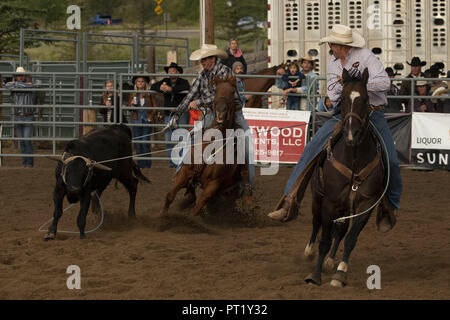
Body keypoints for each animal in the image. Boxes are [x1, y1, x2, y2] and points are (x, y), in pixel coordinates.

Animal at [160, 75, 250, 215]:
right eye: (216, 90)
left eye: (232, 92)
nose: (220, 111)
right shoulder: (186, 170)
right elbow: (170, 195)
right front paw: (162, 217)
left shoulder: (213, 185)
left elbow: (195, 210)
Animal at [304, 68, 392, 288]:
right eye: (342, 98)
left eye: (366, 98)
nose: (351, 134)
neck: (353, 161)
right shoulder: (330, 201)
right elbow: (324, 240)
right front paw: (315, 275)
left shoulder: (365, 204)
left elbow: (350, 238)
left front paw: (339, 273)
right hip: (318, 197)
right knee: (316, 223)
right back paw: (309, 252)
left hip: (346, 207)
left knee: (342, 230)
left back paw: (330, 261)